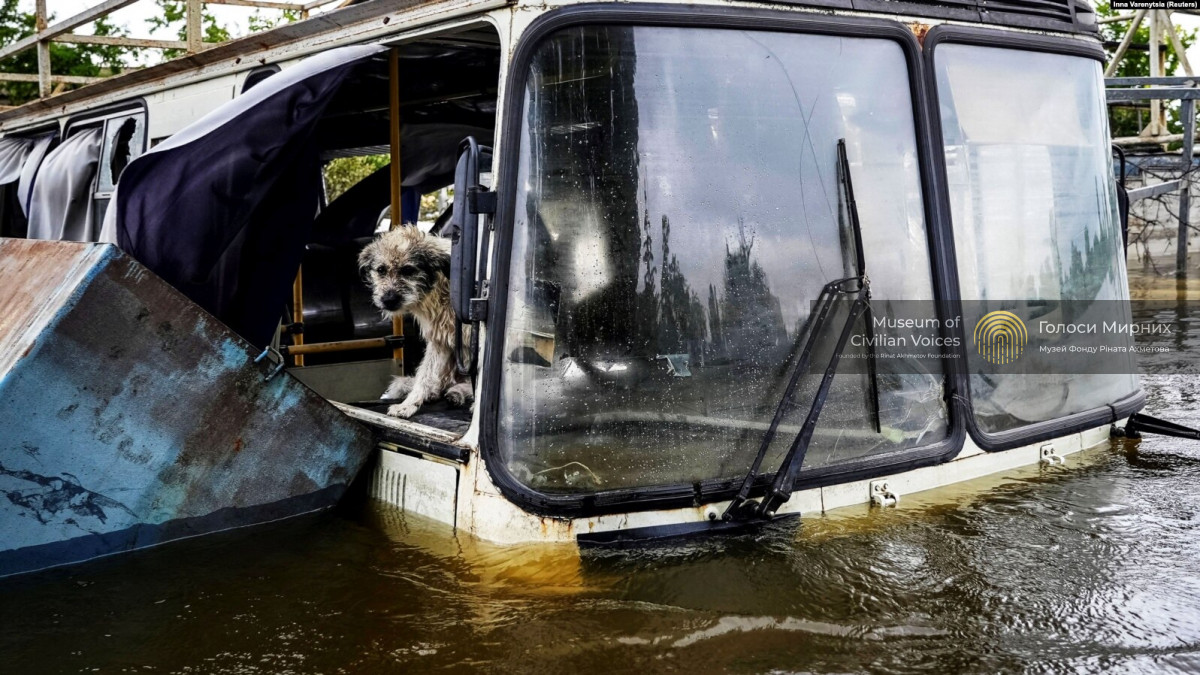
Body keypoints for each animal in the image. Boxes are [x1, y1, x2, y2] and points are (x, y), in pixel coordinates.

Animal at [357, 225, 470, 415]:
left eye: (408, 270)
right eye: (381, 270)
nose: (388, 300)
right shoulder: (440, 339)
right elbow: (425, 375)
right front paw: (408, 404)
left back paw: (458, 393)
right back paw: (440, 392)